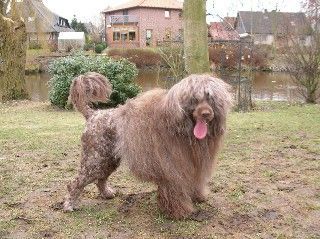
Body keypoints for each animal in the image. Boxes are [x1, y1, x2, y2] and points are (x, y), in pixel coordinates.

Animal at [63, 72, 232, 219]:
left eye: (210, 98)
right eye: (194, 99)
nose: (206, 114)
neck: (182, 129)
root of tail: (94, 114)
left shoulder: (192, 164)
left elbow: (194, 181)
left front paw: (198, 196)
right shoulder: (171, 168)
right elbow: (175, 191)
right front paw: (180, 212)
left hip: (108, 159)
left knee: (101, 179)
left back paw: (106, 193)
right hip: (95, 159)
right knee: (75, 183)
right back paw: (69, 205)